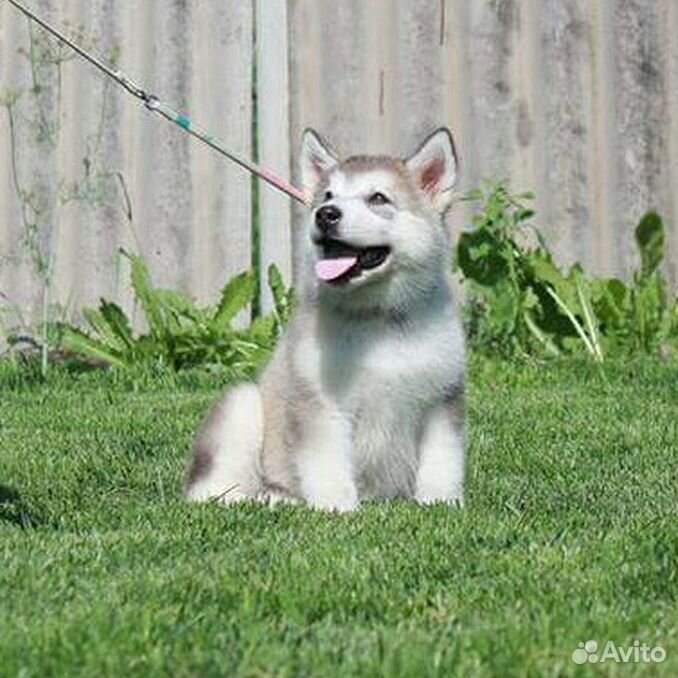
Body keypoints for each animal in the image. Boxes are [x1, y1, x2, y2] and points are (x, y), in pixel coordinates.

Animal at [186, 127, 468, 512]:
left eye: (378, 198)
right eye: (328, 195)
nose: (326, 214)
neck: (379, 320)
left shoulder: (441, 399)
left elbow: (443, 460)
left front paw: (440, 502)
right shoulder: (321, 403)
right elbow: (327, 461)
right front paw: (336, 507)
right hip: (241, 407)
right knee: (210, 491)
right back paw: (266, 500)